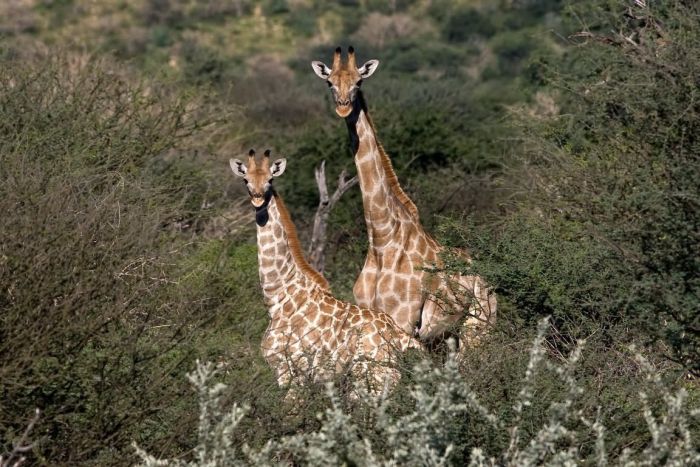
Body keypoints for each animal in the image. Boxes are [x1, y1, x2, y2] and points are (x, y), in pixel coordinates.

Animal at [230, 149, 422, 394]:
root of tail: (401, 337)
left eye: (270, 180)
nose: (257, 198)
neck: (278, 297)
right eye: (245, 180)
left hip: (376, 374)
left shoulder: (291, 371)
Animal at [312, 47, 498, 352]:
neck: (382, 238)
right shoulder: (372, 315)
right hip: (448, 336)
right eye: (330, 83)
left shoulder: (404, 321)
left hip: (480, 326)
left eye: (358, 82)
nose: (343, 106)